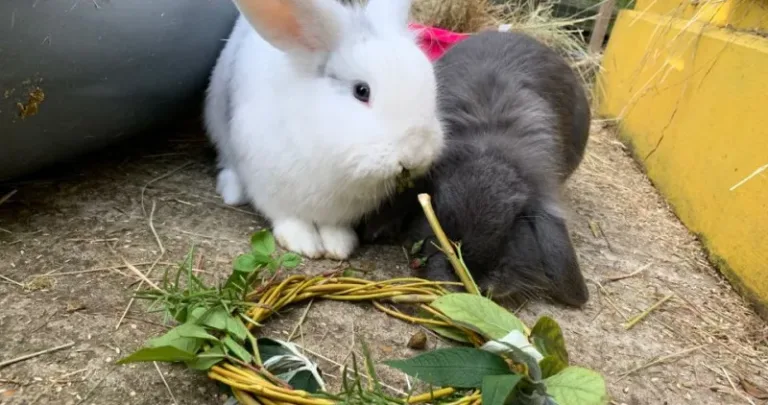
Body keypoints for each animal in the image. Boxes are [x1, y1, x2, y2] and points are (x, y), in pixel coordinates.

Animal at [203, 0, 445, 260]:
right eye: (361, 91)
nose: (415, 154)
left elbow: (333, 227)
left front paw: (339, 245)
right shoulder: (269, 187)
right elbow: (289, 218)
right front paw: (304, 243)